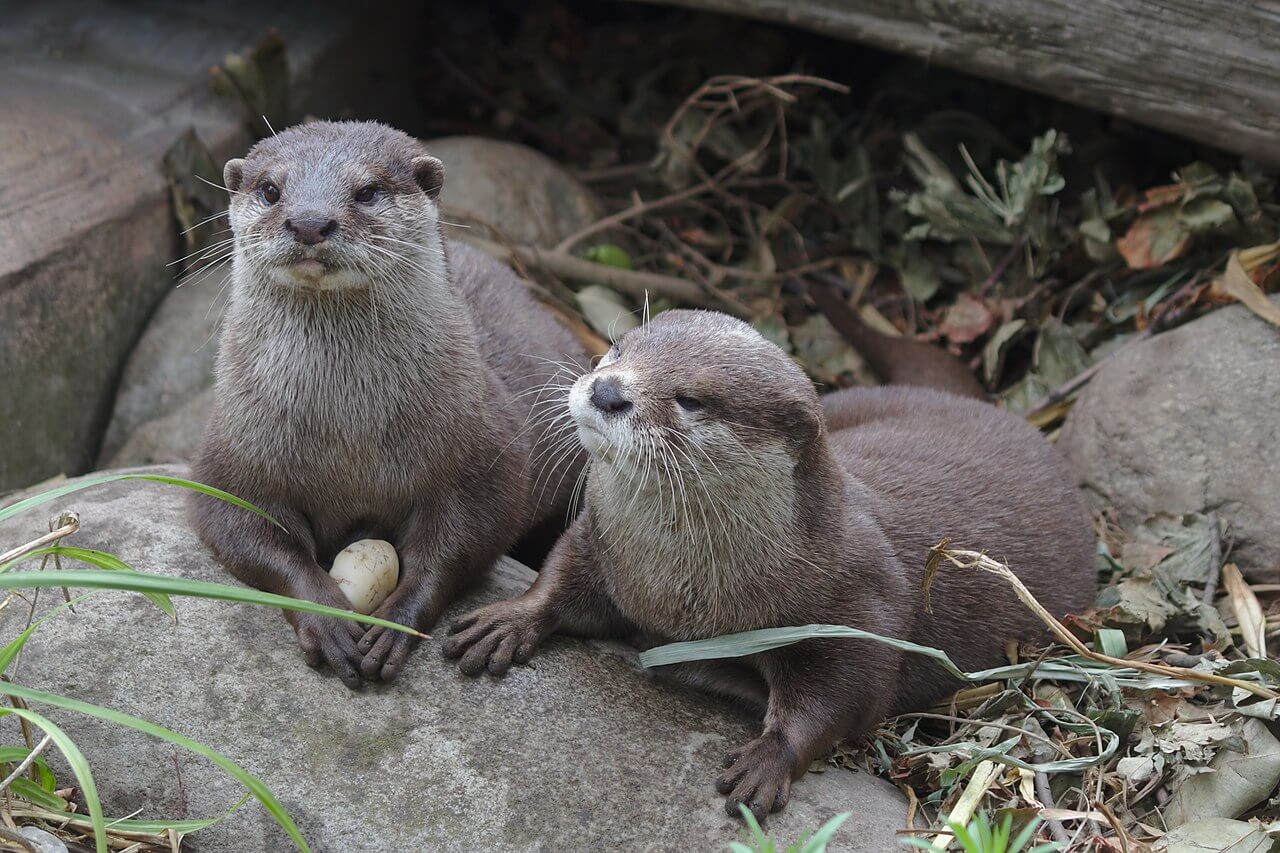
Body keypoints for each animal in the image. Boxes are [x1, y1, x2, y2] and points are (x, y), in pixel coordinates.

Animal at [191, 121, 589, 689]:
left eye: (368, 191)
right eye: (270, 189)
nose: (310, 222)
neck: (347, 432)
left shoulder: (483, 453)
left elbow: (463, 542)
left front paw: (397, 622)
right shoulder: (233, 454)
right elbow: (246, 532)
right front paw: (325, 616)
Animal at [442, 309, 1095, 820]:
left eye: (691, 398)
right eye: (618, 348)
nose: (606, 391)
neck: (681, 589)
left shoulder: (856, 603)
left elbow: (848, 694)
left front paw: (767, 760)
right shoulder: (601, 542)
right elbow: (560, 576)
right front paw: (508, 621)